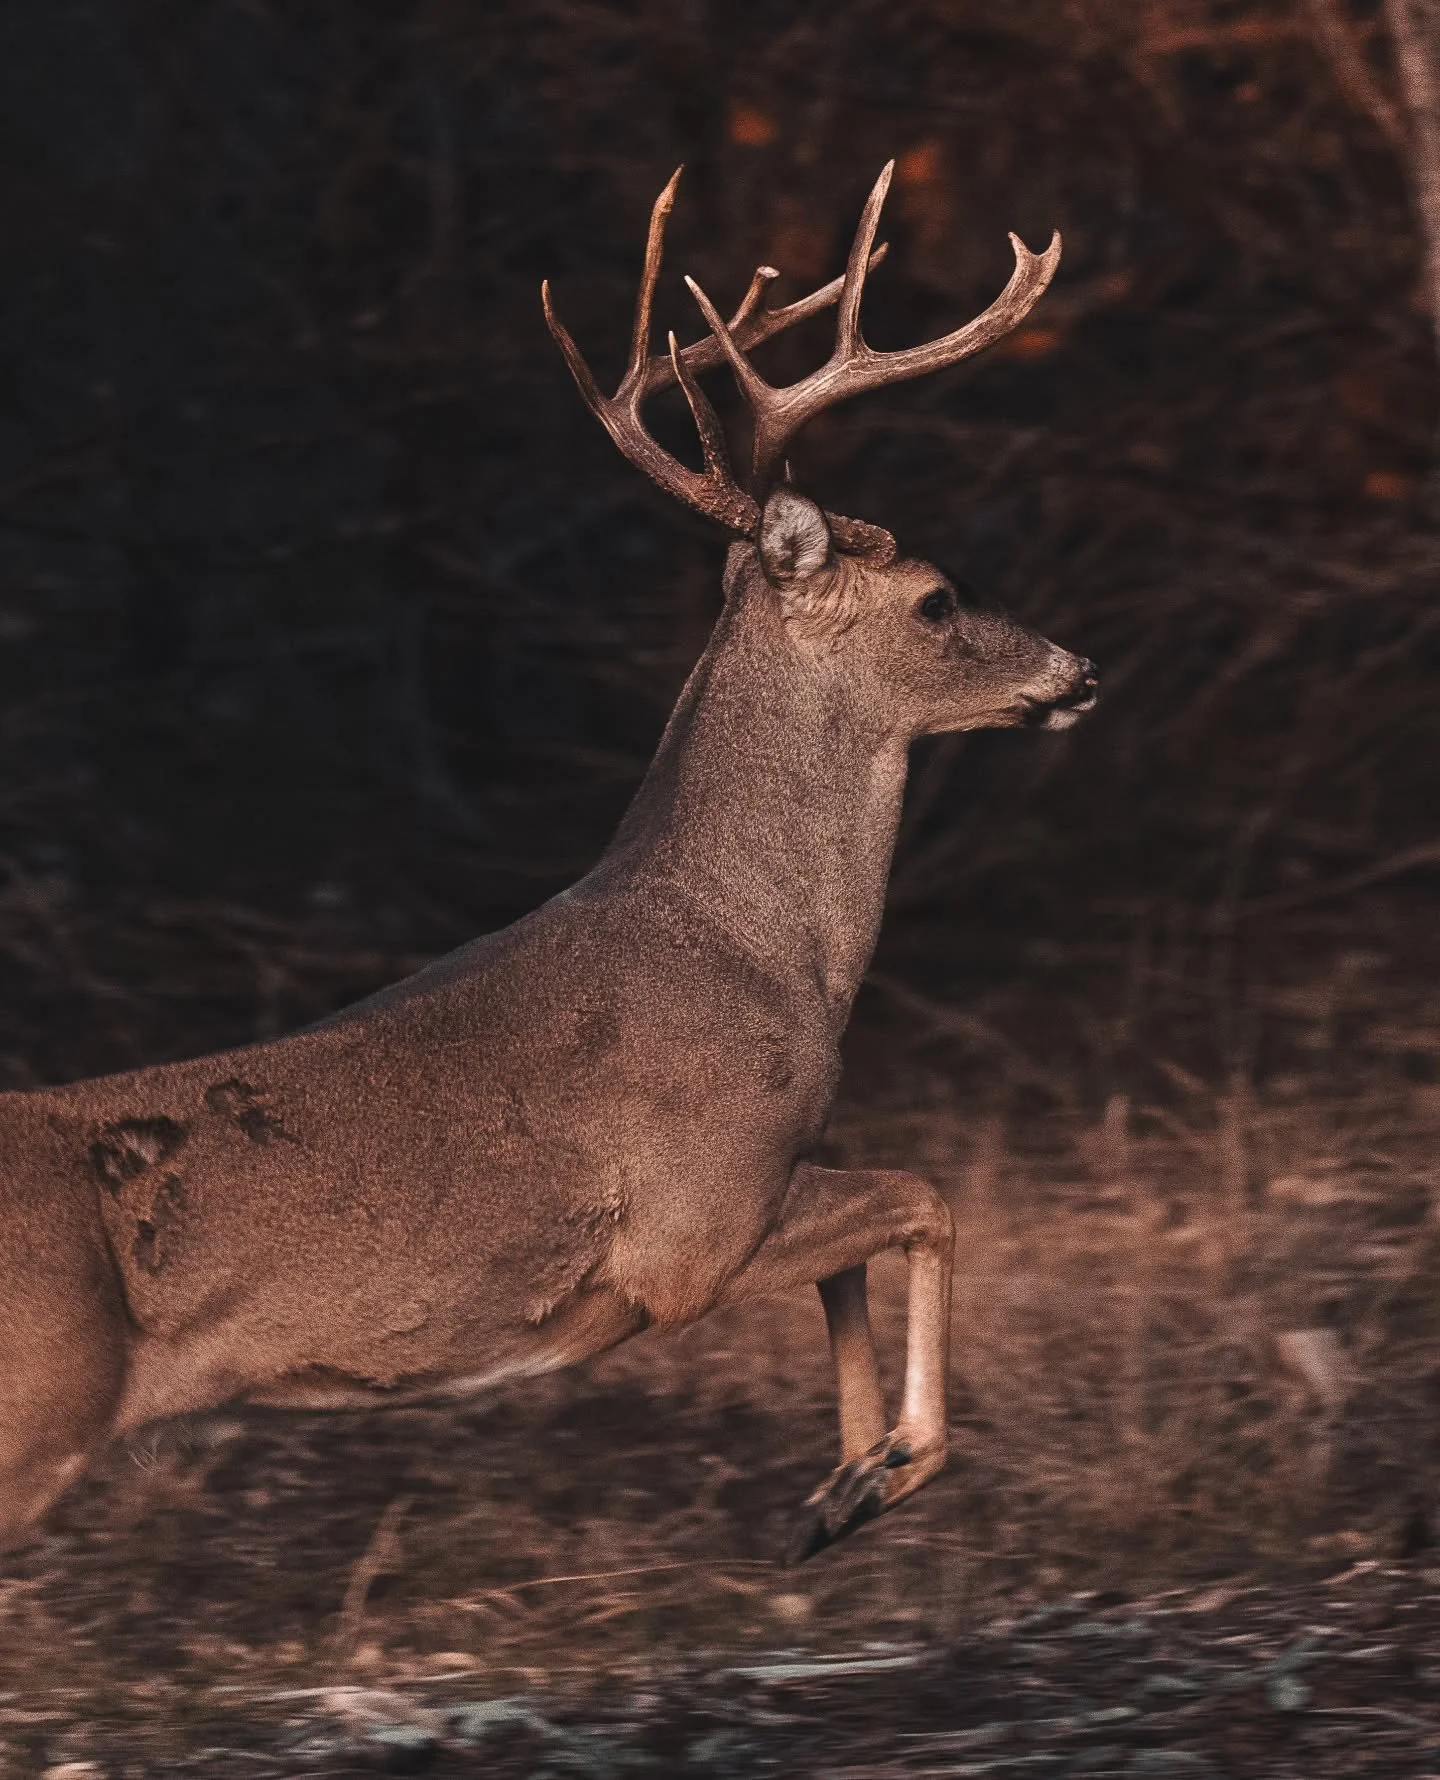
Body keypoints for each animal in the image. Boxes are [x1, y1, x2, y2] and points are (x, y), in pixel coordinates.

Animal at [0, 163, 1096, 1564]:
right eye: (940, 597)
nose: (1078, 669)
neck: (762, 953)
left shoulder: (764, 1180)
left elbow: (861, 1257)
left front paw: (839, 1489)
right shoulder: (690, 1230)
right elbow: (924, 1195)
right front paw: (893, 1466)